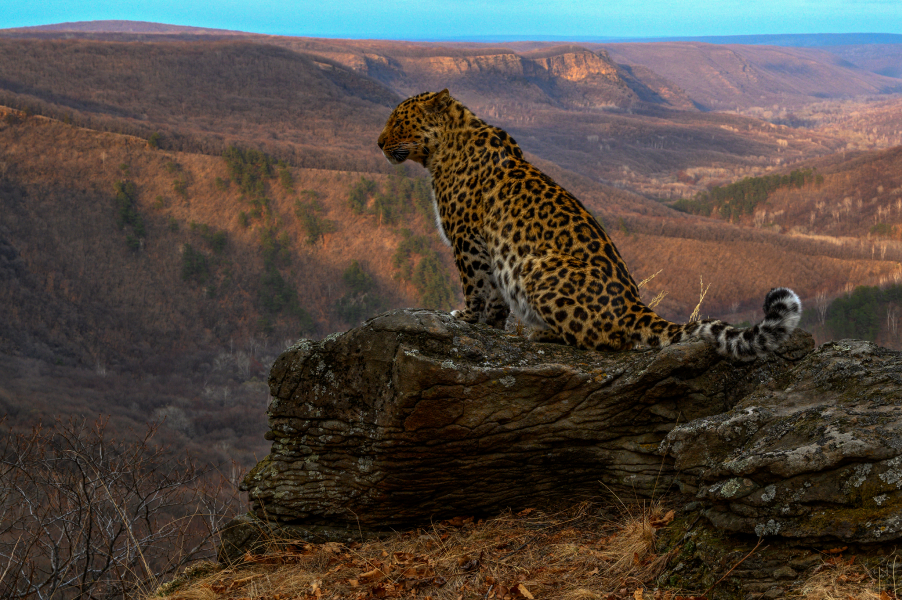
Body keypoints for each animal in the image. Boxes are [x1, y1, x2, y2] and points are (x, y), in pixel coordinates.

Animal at [378, 91, 800, 358]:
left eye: (398, 122)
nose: (378, 143)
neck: (443, 149)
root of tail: (634, 307)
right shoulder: (482, 245)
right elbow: (494, 295)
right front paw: (490, 326)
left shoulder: (467, 239)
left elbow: (477, 285)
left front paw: (465, 318)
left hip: (535, 266)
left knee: (607, 341)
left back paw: (541, 333)